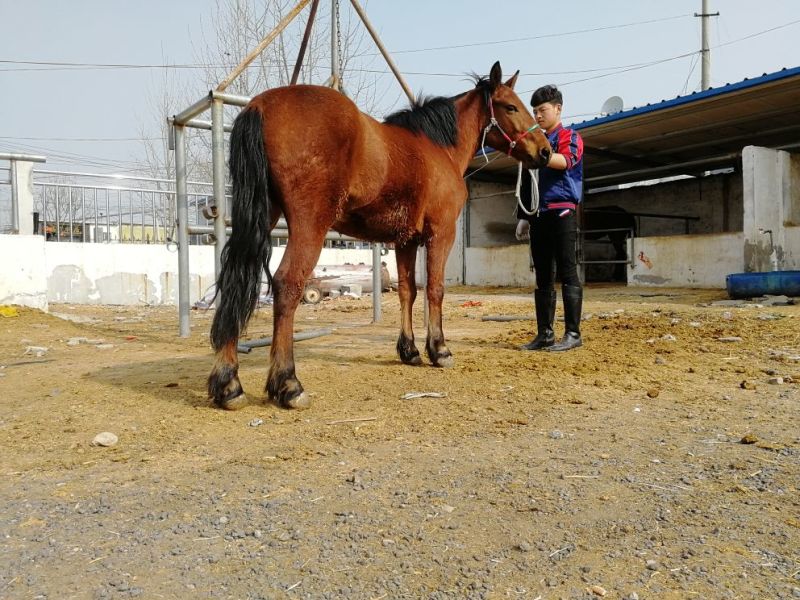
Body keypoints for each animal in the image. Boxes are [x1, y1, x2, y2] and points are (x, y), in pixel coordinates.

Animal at [207, 62, 552, 410]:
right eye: (511, 106)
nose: (545, 151)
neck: (439, 149)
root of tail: (261, 105)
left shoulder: (405, 241)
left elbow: (407, 292)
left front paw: (409, 350)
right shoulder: (441, 233)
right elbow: (435, 290)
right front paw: (439, 350)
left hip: (261, 219)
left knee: (236, 280)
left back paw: (228, 385)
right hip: (310, 225)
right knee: (287, 285)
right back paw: (288, 384)